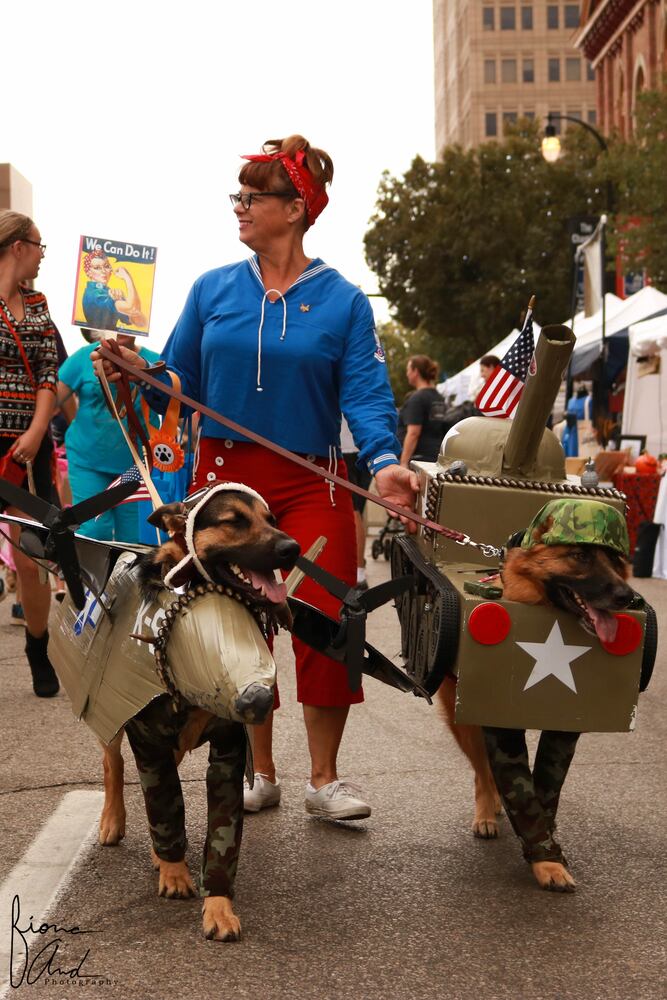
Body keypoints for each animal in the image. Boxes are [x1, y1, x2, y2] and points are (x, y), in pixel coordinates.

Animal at [98, 484, 298, 936]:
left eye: (272, 519)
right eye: (234, 521)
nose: (292, 548)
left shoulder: (228, 752)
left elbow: (220, 832)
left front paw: (219, 906)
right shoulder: (147, 742)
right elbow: (162, 805)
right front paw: (174, 872)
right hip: (118, 725)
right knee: (113, 762)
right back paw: (113, 821)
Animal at [436, 512, 636, 896]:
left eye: (617, 561)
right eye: (580, 556)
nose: (627, 596)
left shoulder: (564, 729)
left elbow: (543, 790)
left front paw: (547, 850)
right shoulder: (499, 726)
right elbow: (517, 787)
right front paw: (546, 862)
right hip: (463, 721)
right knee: (482, 770)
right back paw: (487, 811)